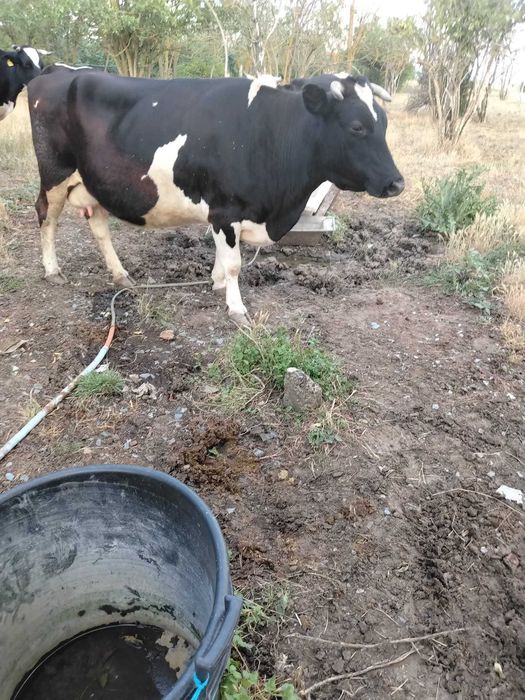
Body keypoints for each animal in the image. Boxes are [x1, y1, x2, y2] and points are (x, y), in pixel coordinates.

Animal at [28, 70, 404, 324]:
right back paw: (52, 270)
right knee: (46, 215)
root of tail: (56, 73)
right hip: (55, 173)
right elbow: (234, 261)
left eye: (386, 124)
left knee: (100, 227)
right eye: (357, 127)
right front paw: (236, 307)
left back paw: (121, 275)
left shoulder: (222, 212)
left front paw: (217, 283)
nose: (396, 183)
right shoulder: (226, 209)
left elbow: (222, 256)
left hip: (95, 182)